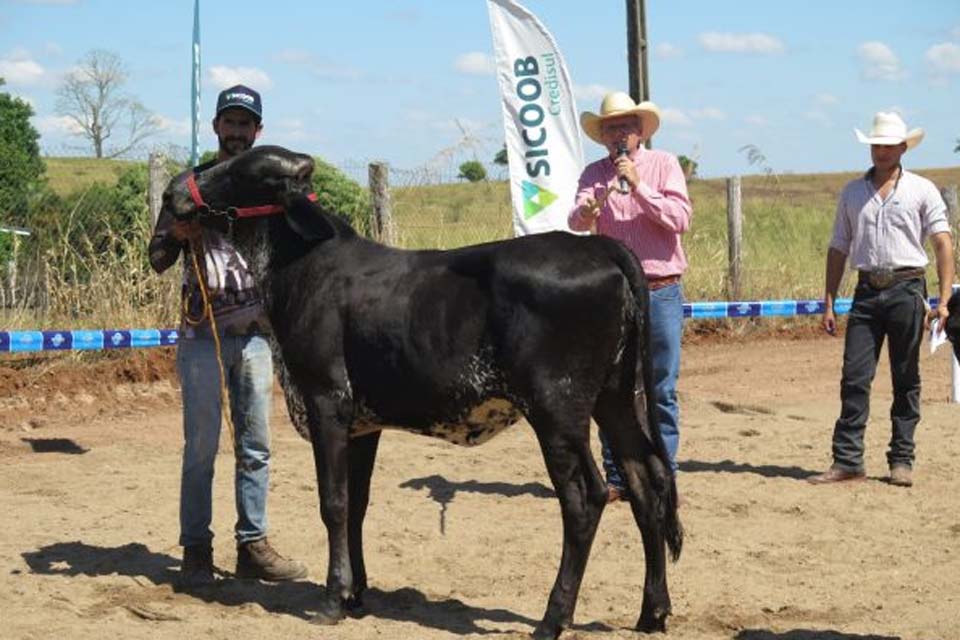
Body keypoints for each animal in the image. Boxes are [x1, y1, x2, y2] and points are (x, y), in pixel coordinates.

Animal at [159, 145, 684, 640]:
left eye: (241, 171)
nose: (172, 192)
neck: (301, 265)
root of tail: (600, 247)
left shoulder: (326, 402)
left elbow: (333, 503)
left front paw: (331, 600)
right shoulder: (362, 424)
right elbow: (356, 504)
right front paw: (355, 593)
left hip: (558, 408)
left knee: (586, 498)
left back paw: (552, 619)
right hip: (614, 397)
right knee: (646, 480)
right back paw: (652, 610)